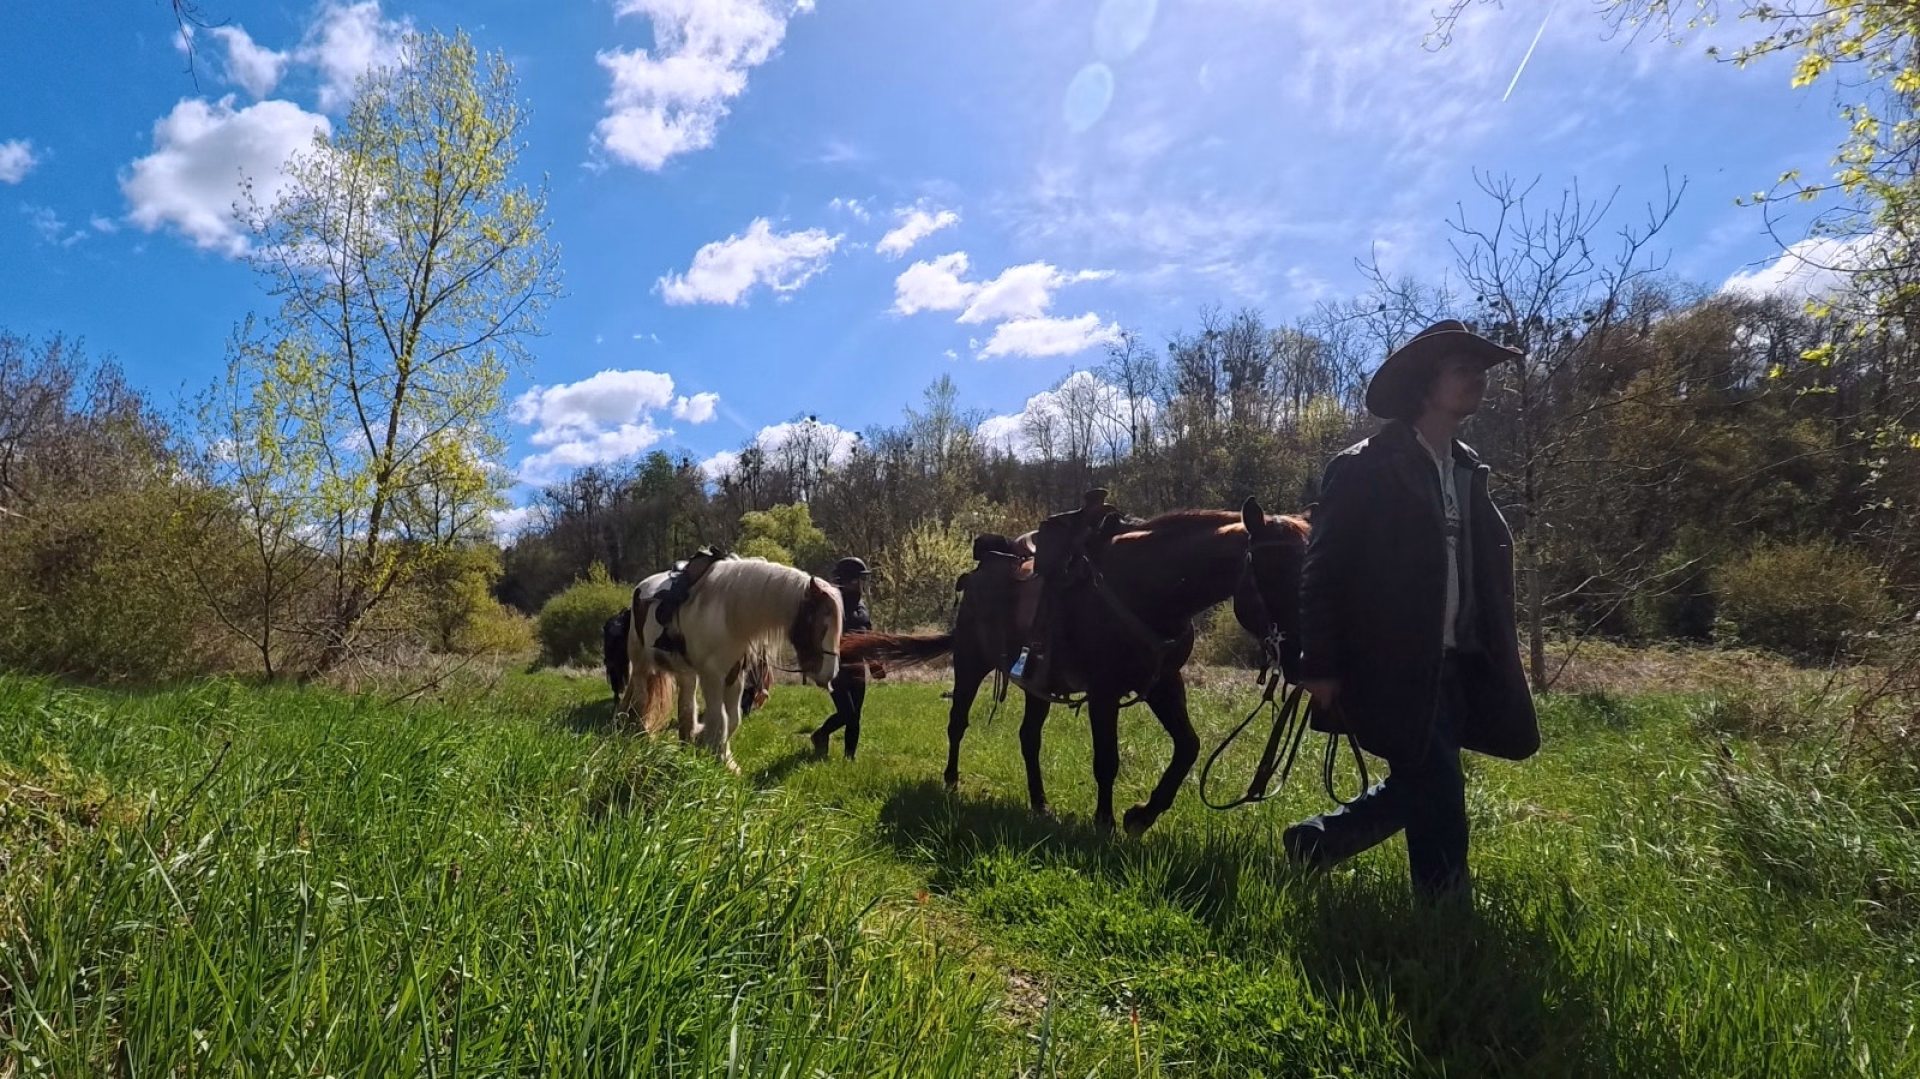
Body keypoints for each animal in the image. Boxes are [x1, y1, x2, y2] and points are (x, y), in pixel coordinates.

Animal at [616, 558, 843, 773]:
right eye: (818, 623)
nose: (830, 675)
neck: (729, 616)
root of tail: (642, 586)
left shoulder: (735, 677)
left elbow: (733, 718)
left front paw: (719, 753)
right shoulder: (712, 677)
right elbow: (721, 718)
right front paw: (718, 758)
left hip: (685, 672)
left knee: (686, 704)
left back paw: (685, 741)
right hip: (640, 662)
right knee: (640, 697)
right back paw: (642, 732)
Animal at [842, 494, 1307, 836]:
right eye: (1273, 571)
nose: (1303, 656)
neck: (1149, 587)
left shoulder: (1163, 682)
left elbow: (1188, 747)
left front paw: (1141, 815)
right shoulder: (1104, 690)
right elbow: (1107, 760)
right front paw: (1104, 823)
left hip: (1036, 684)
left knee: (1028, 738)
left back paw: (1039, 803)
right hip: (970, 664)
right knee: (958, 722)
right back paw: (952, 781)